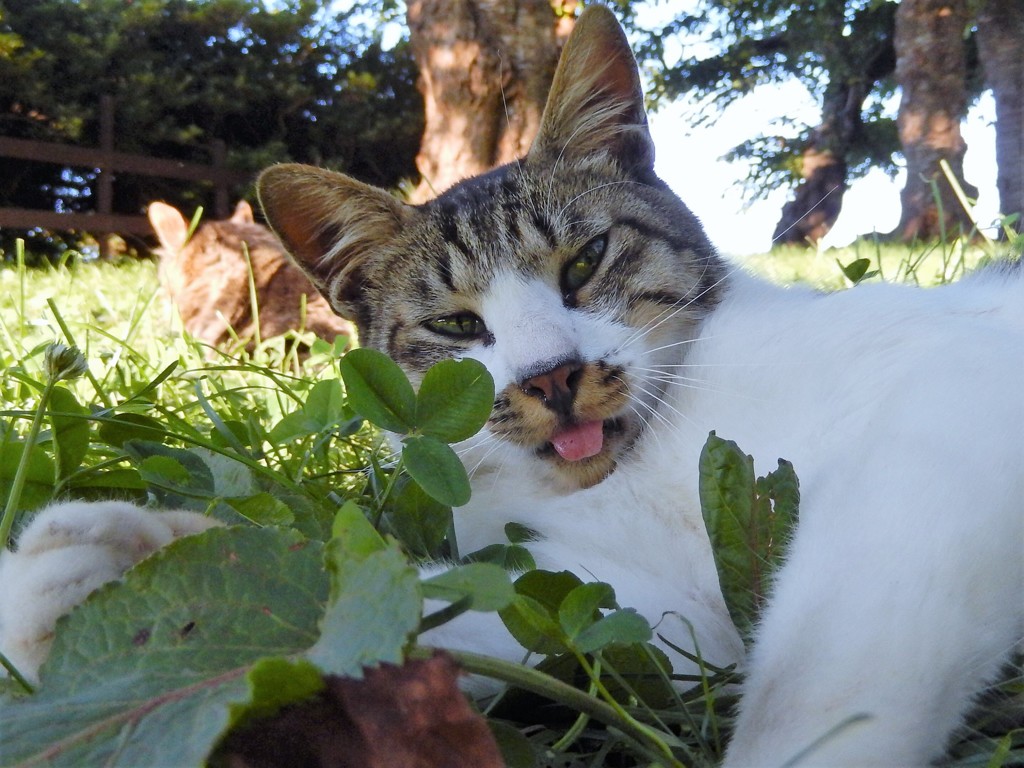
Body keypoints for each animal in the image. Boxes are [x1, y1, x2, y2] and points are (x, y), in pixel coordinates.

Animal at [2, 7, 1024, 768]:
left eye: (586, 261)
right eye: (457, 327)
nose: (552, 378)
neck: (650, 459)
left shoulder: (947, 407)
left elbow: (831, 669)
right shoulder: (660, 606)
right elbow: (451, 613)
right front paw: (121, 579)